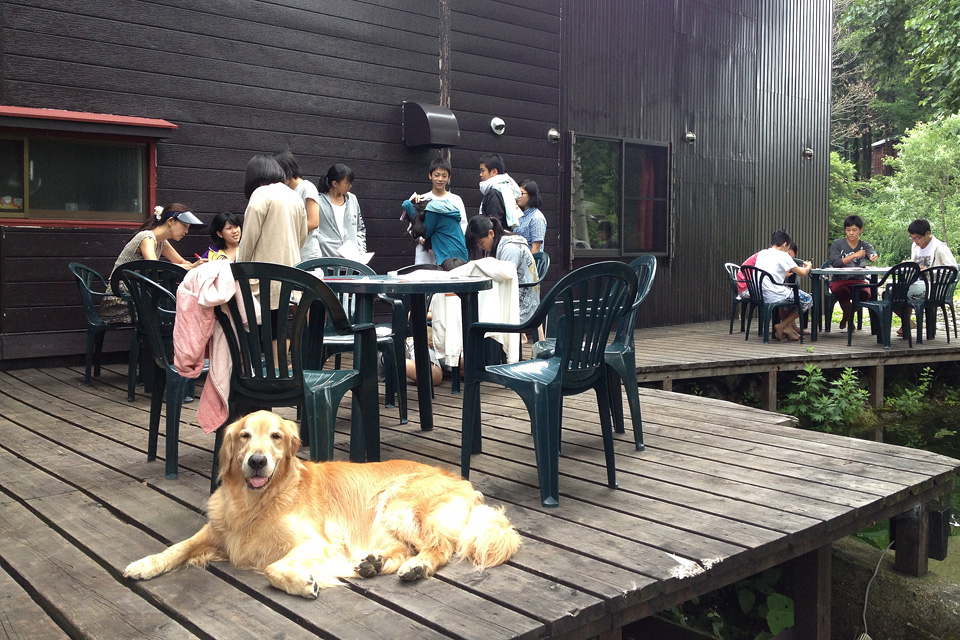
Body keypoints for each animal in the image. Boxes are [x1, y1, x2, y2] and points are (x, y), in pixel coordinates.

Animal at [124, 410, 520, 598]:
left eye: (276, 437)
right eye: (245, 436)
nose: (256, 462)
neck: (257, 500)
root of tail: (464, 482)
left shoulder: (315, 542)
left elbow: (274, 568)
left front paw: (302, 584)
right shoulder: (219, 531)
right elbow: (176, 548)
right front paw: (145, 564)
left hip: (398, 503)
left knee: (438, 546)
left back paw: (416, 567)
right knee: (400, 549)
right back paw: (373, 564)